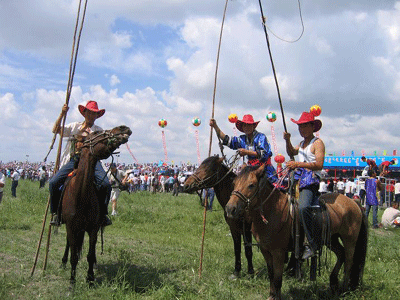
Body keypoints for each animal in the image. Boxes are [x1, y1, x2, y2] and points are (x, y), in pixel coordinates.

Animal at [60, 125, 131, 284]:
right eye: (97, 133)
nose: (124, 128)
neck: (81, 195)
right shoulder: (71, 227)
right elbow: (74, 256)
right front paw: (72, 282)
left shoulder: (93, 228)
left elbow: (90, 255)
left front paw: (90, 278)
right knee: (68, 243)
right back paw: (63, 262)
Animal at [223, 164, 368, 300]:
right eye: (234, 183)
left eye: (251, 185)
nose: (230, 209)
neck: (273, 211)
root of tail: (354, 202)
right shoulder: (265, 250)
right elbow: (271, 274)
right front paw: (271, 295)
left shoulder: (279, 252)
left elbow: (277, 278)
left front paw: (277, 296)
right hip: (331, 238)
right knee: (341, 254)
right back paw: (333, 283)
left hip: (350, 240)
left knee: (349, 261)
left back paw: (344, 289)